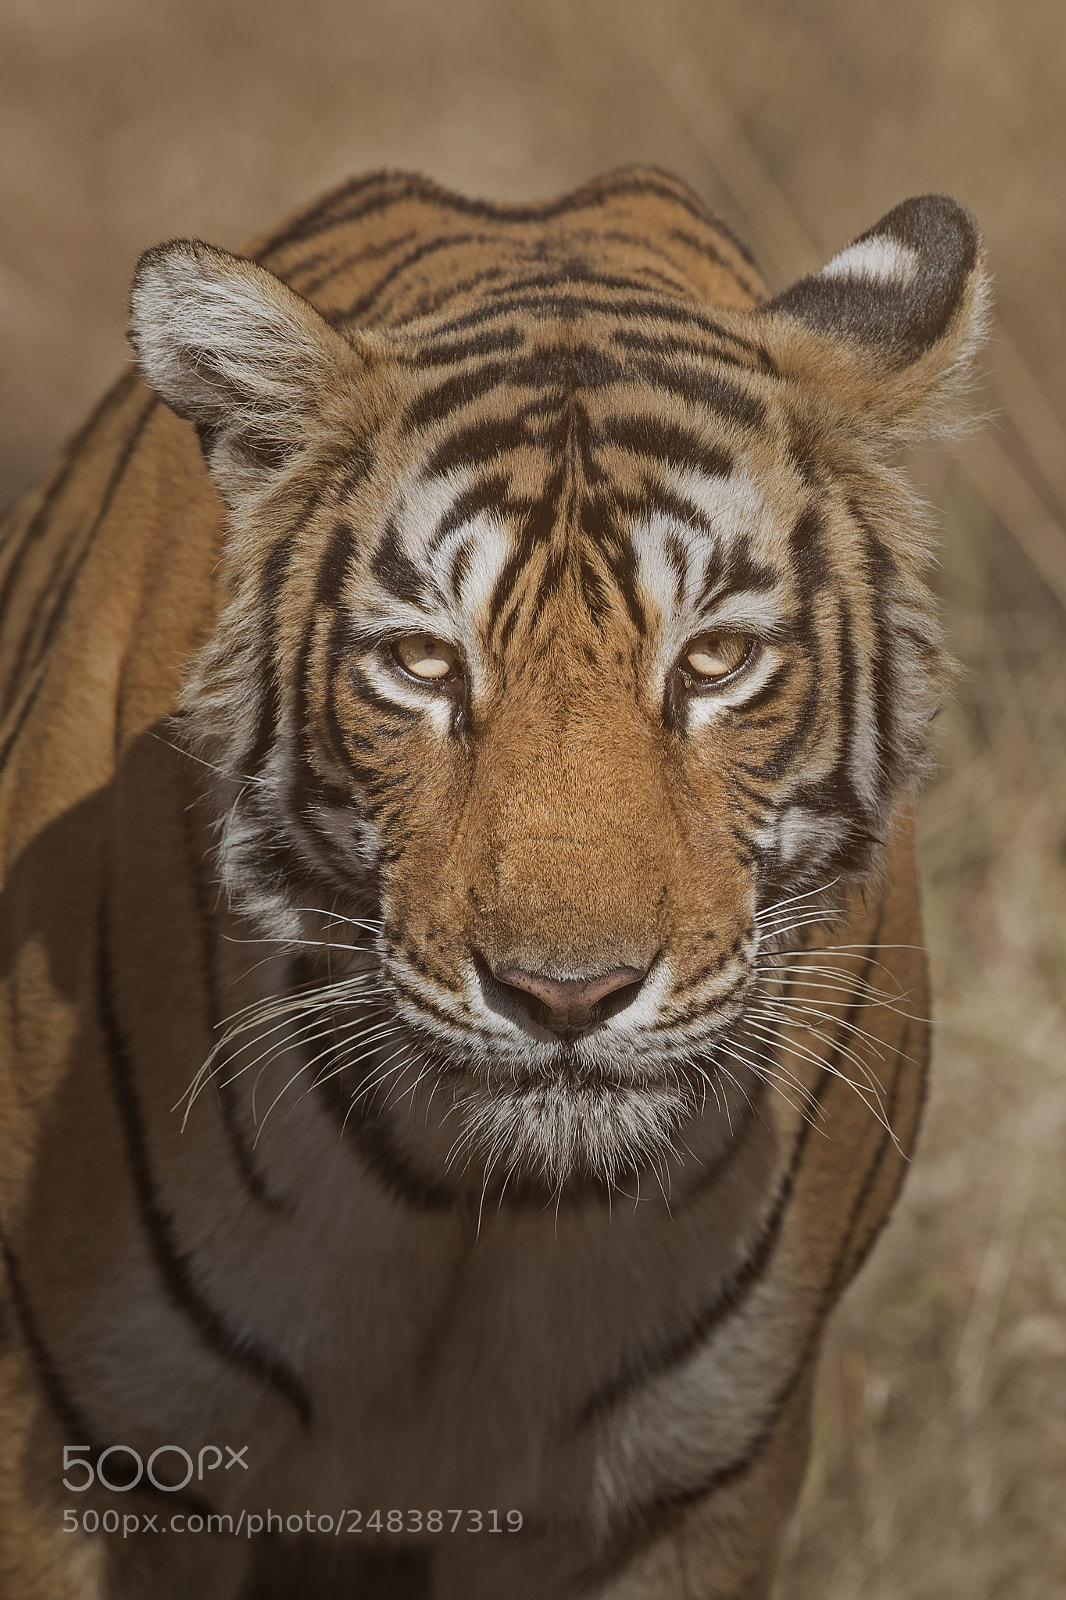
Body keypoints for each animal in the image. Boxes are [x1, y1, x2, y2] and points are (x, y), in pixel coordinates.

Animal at [0, 166, 986, 1599]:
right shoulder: (86, 1451)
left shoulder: (683, 1492)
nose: (564, 996)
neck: (477, 1215)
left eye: (716, 661)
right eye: (422, 664)